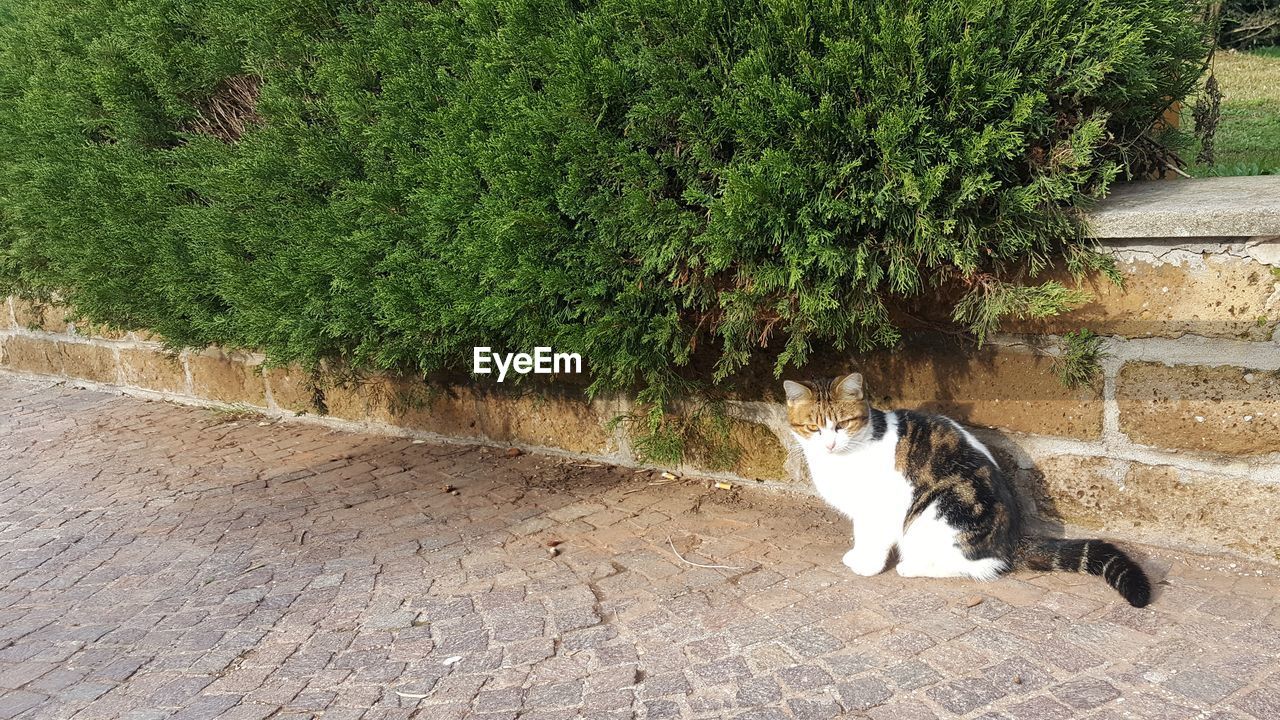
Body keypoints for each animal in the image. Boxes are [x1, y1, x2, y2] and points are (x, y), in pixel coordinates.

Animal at [783, 368, 1157, 604]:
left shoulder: (881, 507)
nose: (829, 444)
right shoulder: (861, 511)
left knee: (979, 566)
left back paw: (913, 566)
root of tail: (1012, 538)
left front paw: (867, 566)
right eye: (814, 427)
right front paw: (856, 555)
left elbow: (873, 538)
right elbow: (861, 534)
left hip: (938, 510)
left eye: (842, 423)